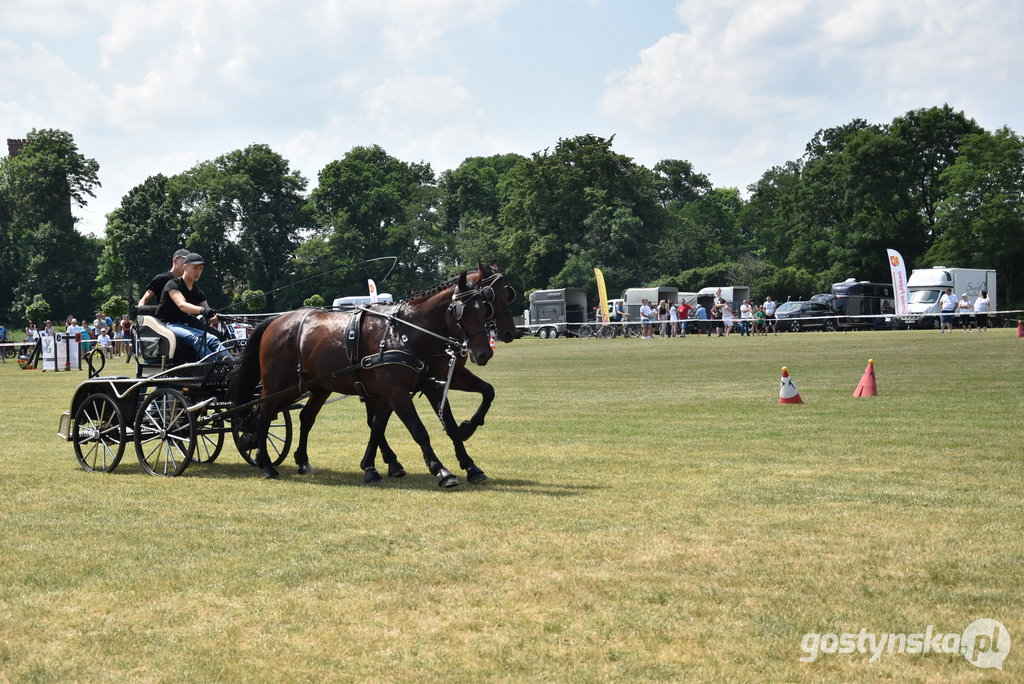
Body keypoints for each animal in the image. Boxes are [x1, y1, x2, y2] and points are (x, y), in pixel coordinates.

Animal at [227, 270, 495, 483]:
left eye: (484, 308)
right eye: (461, 311)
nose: (484, 353)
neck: (404, 332)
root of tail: (275, 321)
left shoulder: (408, 391)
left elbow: (380, 427)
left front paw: (372, 468)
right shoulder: (396, 392)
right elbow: (417, 430)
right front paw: (441, 471)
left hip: (317, 386)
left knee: (304, 417)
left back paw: (301, 461)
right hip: (277, 386)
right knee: (262, 417)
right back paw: (266, 465)